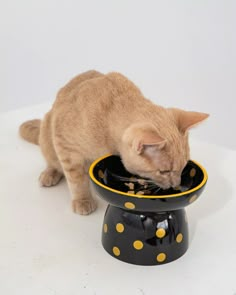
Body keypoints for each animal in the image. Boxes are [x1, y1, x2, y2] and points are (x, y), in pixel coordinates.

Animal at [19, 70, 209, 216]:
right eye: (164, 171)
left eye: (183, 167)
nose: (176, 184)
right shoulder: (64, 143)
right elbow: (76, 178)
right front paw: (83, 199)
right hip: (47, 131)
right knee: (52, 161)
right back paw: (50, 173)